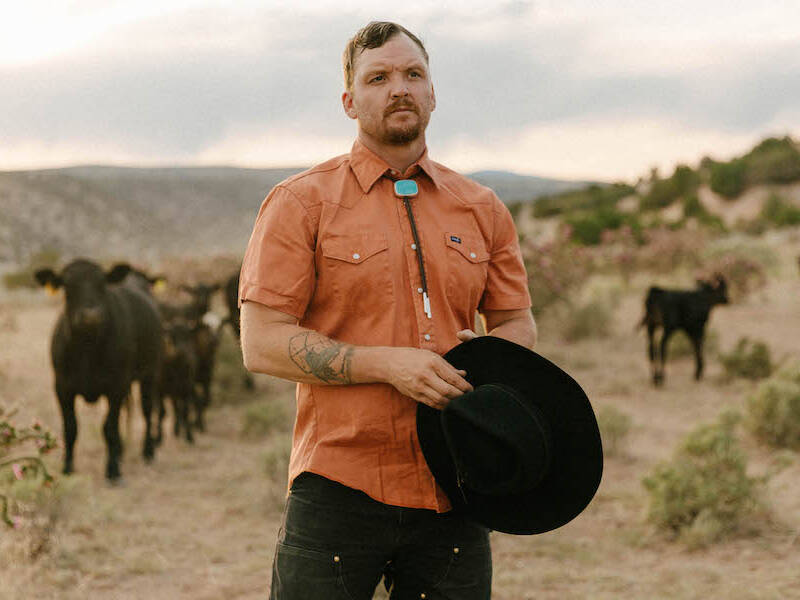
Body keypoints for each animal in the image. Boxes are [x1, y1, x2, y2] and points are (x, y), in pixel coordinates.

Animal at [35, 259, 163, 482]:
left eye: (102, 284)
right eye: (67, 285)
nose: (90, 316)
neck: (87, 350)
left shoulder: (116, 387)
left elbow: (109, 428)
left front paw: (113, 470)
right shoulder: (62, 387)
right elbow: (71, 428)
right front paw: (67, 467)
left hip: (149, 373)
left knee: (147, 411)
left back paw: (148, 451)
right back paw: (121, 451)